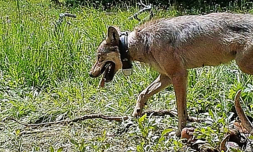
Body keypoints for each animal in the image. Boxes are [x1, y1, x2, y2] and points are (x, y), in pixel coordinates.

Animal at [88, 13, 253, 136]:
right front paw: (136, 113)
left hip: (242, 65)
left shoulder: (178, 75)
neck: (143, 42)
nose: (90, 74)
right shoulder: (166, 77)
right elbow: (143, 94)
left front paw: (179, 132)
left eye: (99, 57)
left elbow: (180, 110)